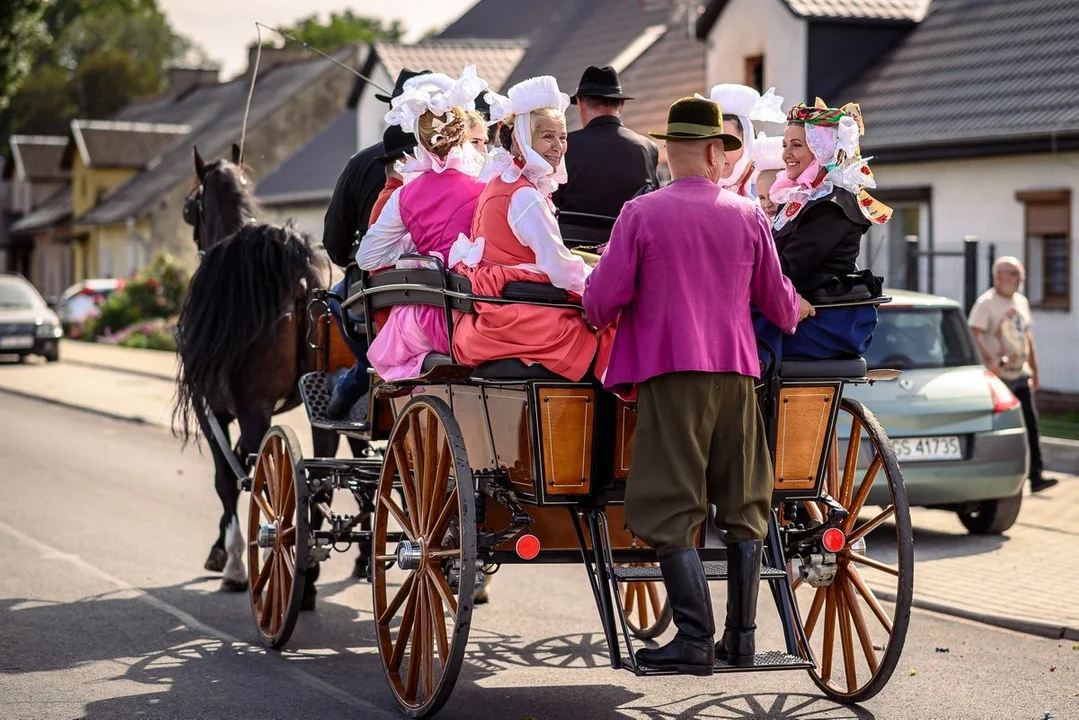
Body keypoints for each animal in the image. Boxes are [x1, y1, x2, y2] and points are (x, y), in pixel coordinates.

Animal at [172, 144, 358, 604]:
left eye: (190, 208)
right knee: (321, 478)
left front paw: (232, 561)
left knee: (265, 480)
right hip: (324, 406)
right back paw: (312, 572)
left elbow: (227, 476)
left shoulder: (214, 408)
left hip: (254, 408)